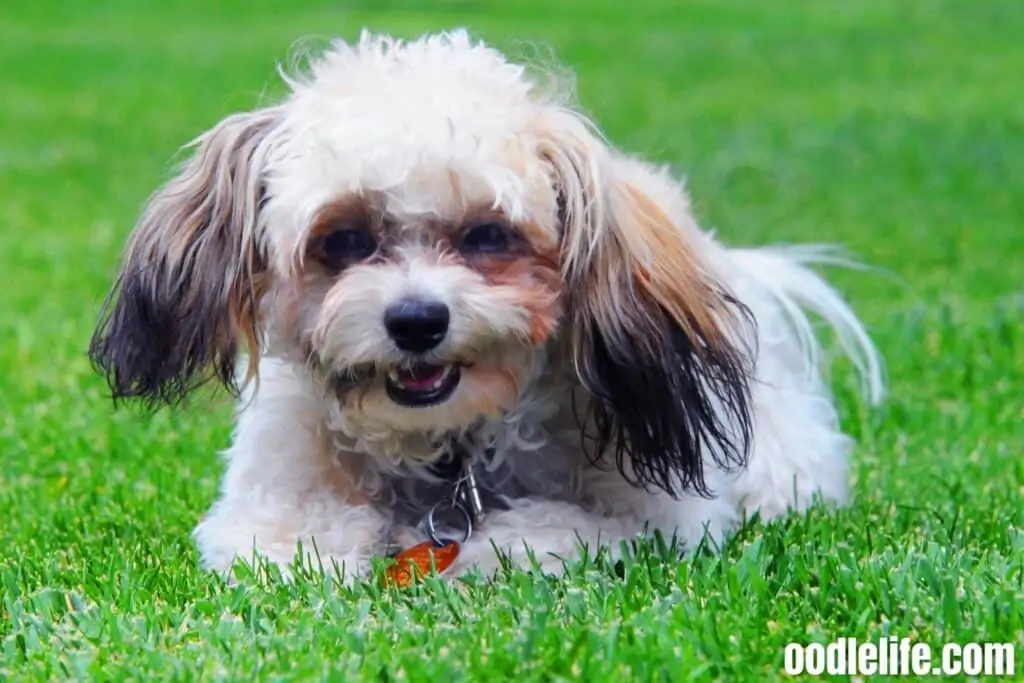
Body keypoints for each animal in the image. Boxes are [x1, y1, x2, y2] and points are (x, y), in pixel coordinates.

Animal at [92, 28, 884, 581]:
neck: (448, 454)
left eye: (488, 234)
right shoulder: (268, 494)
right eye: (342, 239)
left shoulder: (664, 510)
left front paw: (492, 549)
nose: (417, 320)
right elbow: (285, 542)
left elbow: (570, 527)